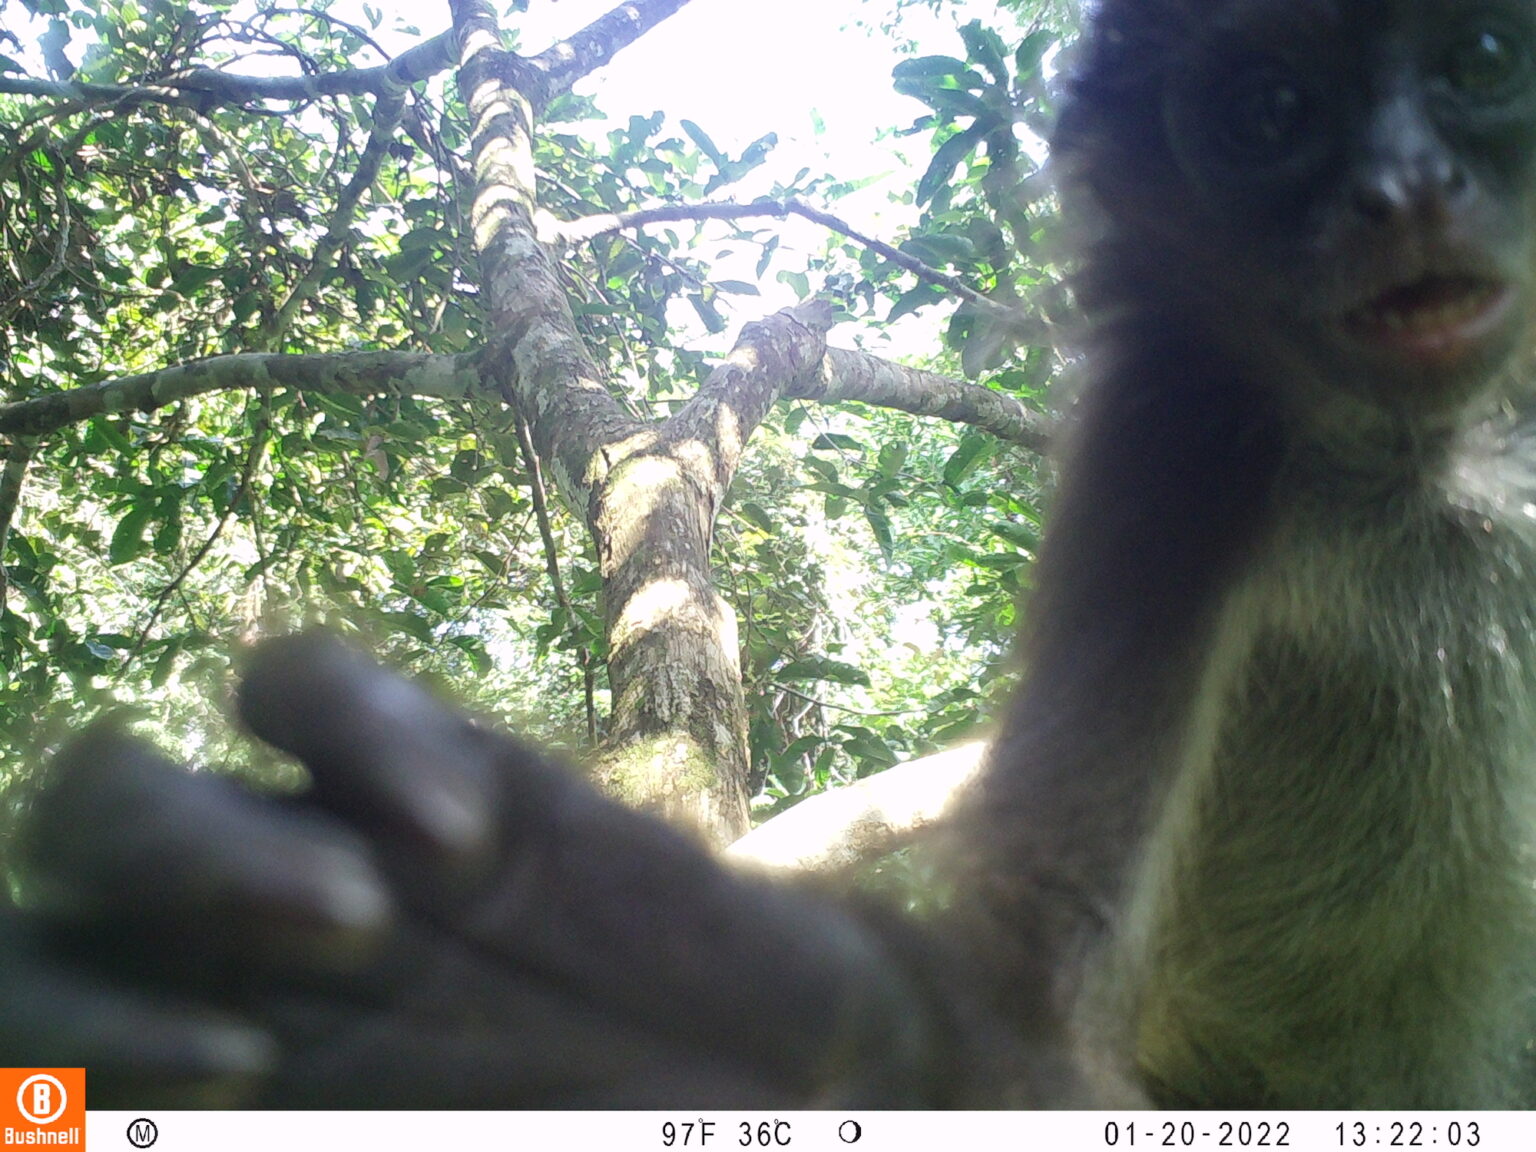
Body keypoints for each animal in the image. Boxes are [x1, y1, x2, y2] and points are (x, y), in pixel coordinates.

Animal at [7, 0, 1536, 1109]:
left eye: (1483, 61)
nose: (1407, 190)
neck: (1436, 464)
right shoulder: (1179, 453)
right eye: (1269, 112)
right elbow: (1005, 1005)